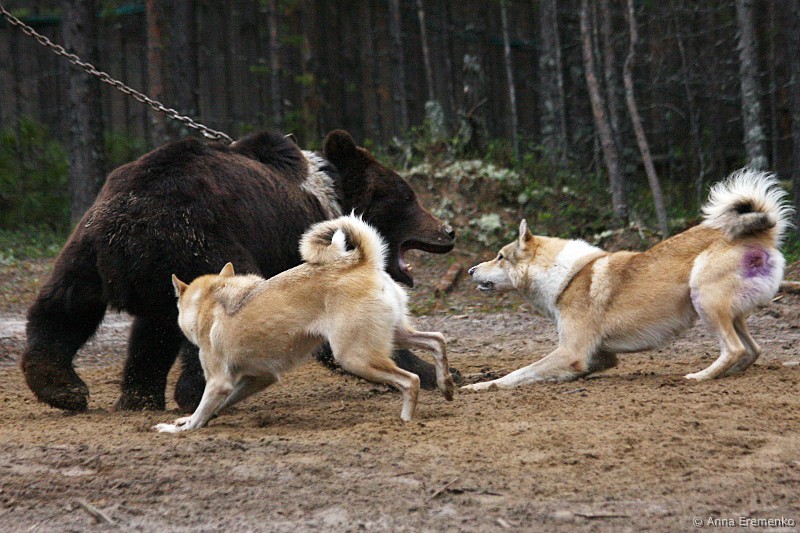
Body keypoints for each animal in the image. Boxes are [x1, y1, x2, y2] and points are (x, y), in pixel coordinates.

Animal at [154, 215, 455, 432]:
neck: (210, 299)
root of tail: (364, 262)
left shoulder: (218, 381)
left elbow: (201, 411)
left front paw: (179, 428)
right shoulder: (259, 378)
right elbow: (216, 406)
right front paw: (189, 420)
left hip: (354, 356)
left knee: (411, 380)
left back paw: (404, 421)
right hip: (393, 335)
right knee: (436, 340)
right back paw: (446, 385)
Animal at [463, 168, 792, 391]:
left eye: (500, 257)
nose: (470, 270)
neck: (564, 274)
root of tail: (764, 234)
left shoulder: (571, 352)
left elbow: (517, 373)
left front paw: (479, 386)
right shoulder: (596, 357)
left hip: (704, 299)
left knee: (734, 349)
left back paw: (699, 376)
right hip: (731, 312)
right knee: (752, 350)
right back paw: (729, 373)